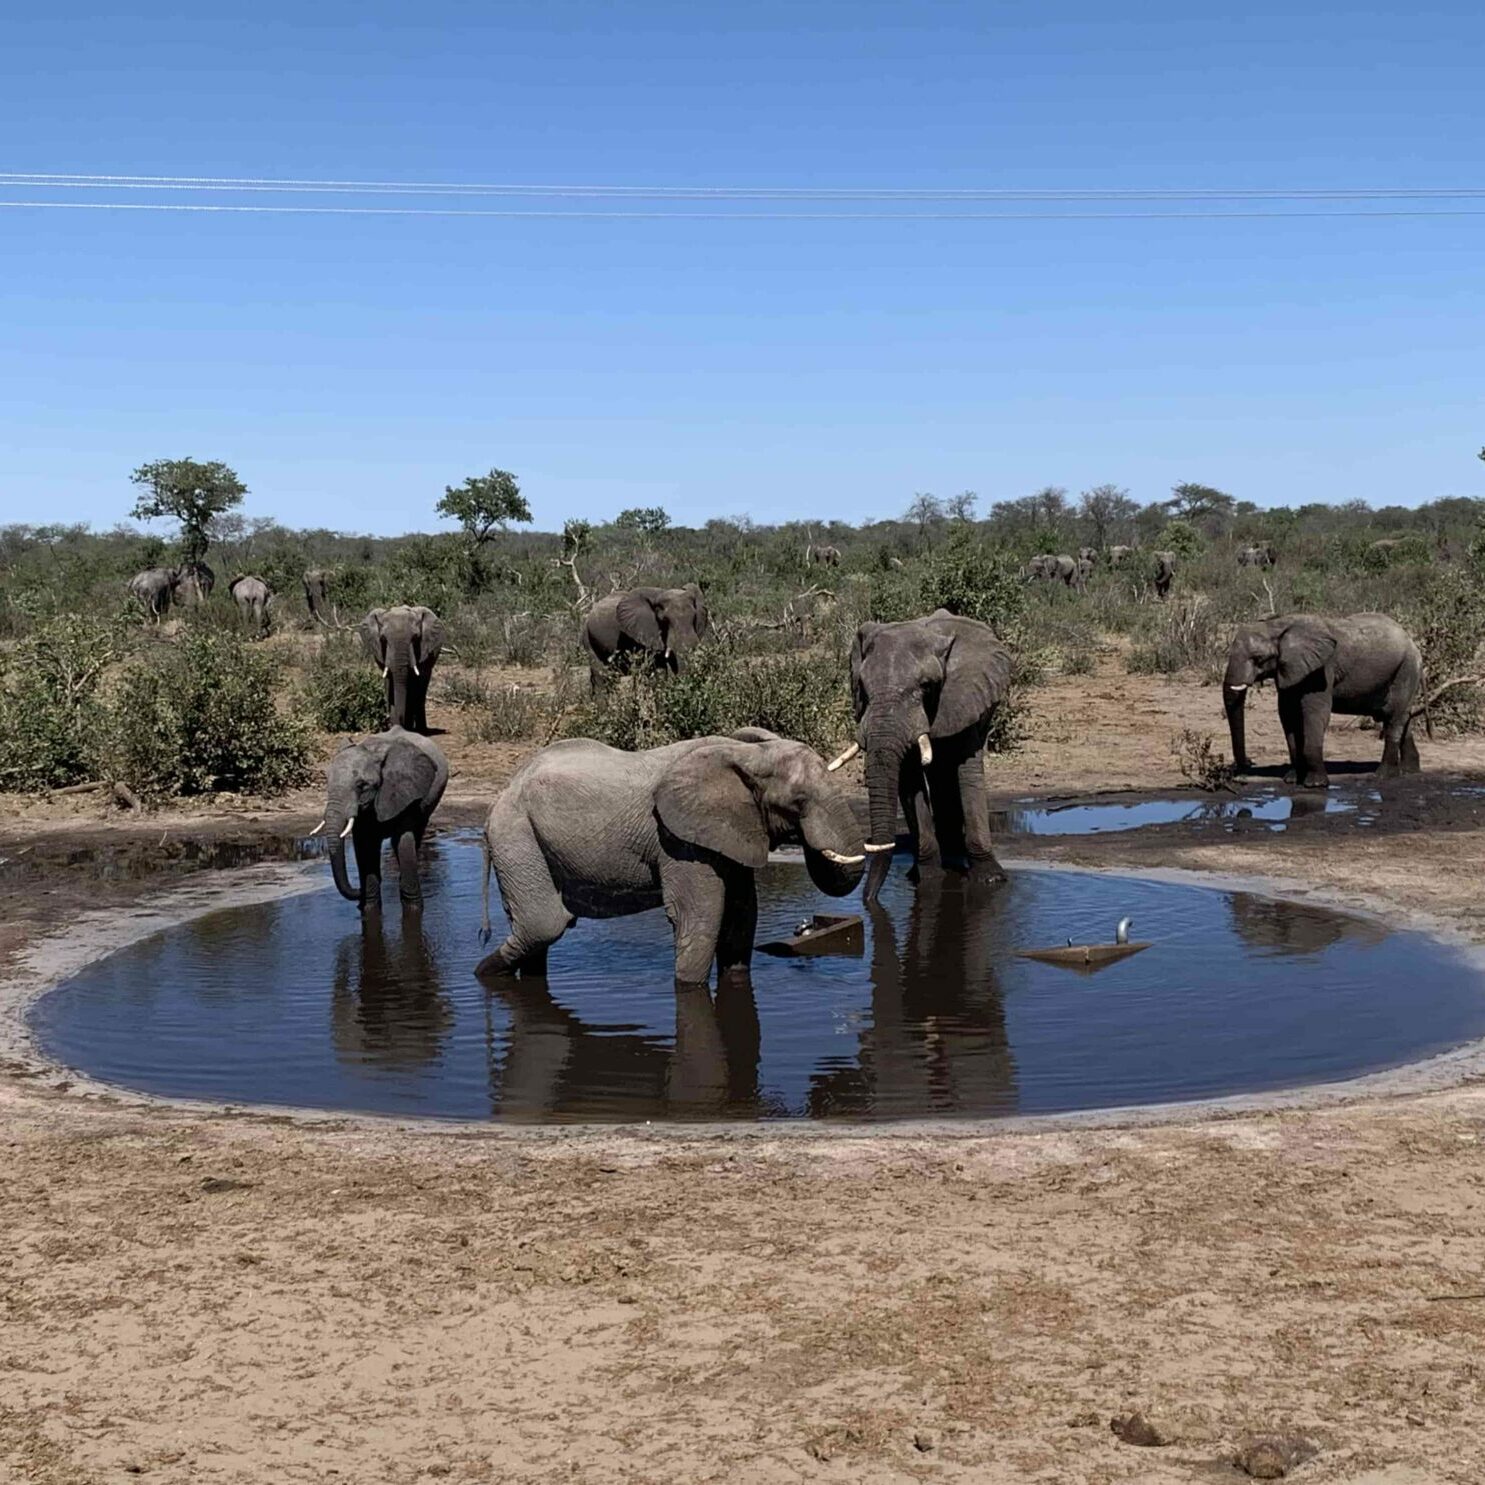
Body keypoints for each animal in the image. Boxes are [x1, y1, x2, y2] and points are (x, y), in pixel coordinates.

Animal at [316, 727, 448, 908]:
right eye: (327, 783)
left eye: (361, 785)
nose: (359, 891)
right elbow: (365, 845)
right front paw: (368, 903)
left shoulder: (405, 794)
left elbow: (403, 841)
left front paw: (413, 905)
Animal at [357, 605, 442, 733]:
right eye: (383, 639)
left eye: (416, 638)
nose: (400, 724)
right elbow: (390, 683)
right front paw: (395, 727)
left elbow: (415, 684)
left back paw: (420, 730)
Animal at [475, 727, 867, 986]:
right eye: (797, 803)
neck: (747, 754)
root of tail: (503, 792)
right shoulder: (679, 839)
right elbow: (700, 917)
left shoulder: (729, 832)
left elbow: (741, 918)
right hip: (516, 837)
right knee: (543, 925)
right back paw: (482, 975)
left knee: (537, 935)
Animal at [831, 605, 1015, 902]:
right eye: (863, 687)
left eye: (927, 685)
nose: (868, 901)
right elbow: (909, 780)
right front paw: (927, 878)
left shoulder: (965, 696)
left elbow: (968, 772)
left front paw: (991, 879)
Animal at [1223, 608, 1419, 790]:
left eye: (1258, 658)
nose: (1242, 775)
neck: (1277, 625)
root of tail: (1411, 640)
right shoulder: (1290, 670)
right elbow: (1288, 715)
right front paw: (1292, 780)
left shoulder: (1321, 670)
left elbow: (1315, 714)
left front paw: (1315, 784)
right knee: (1403, 719)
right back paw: (1410, 771)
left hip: (1406, 669)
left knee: (1393, 718)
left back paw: (1383, 776)